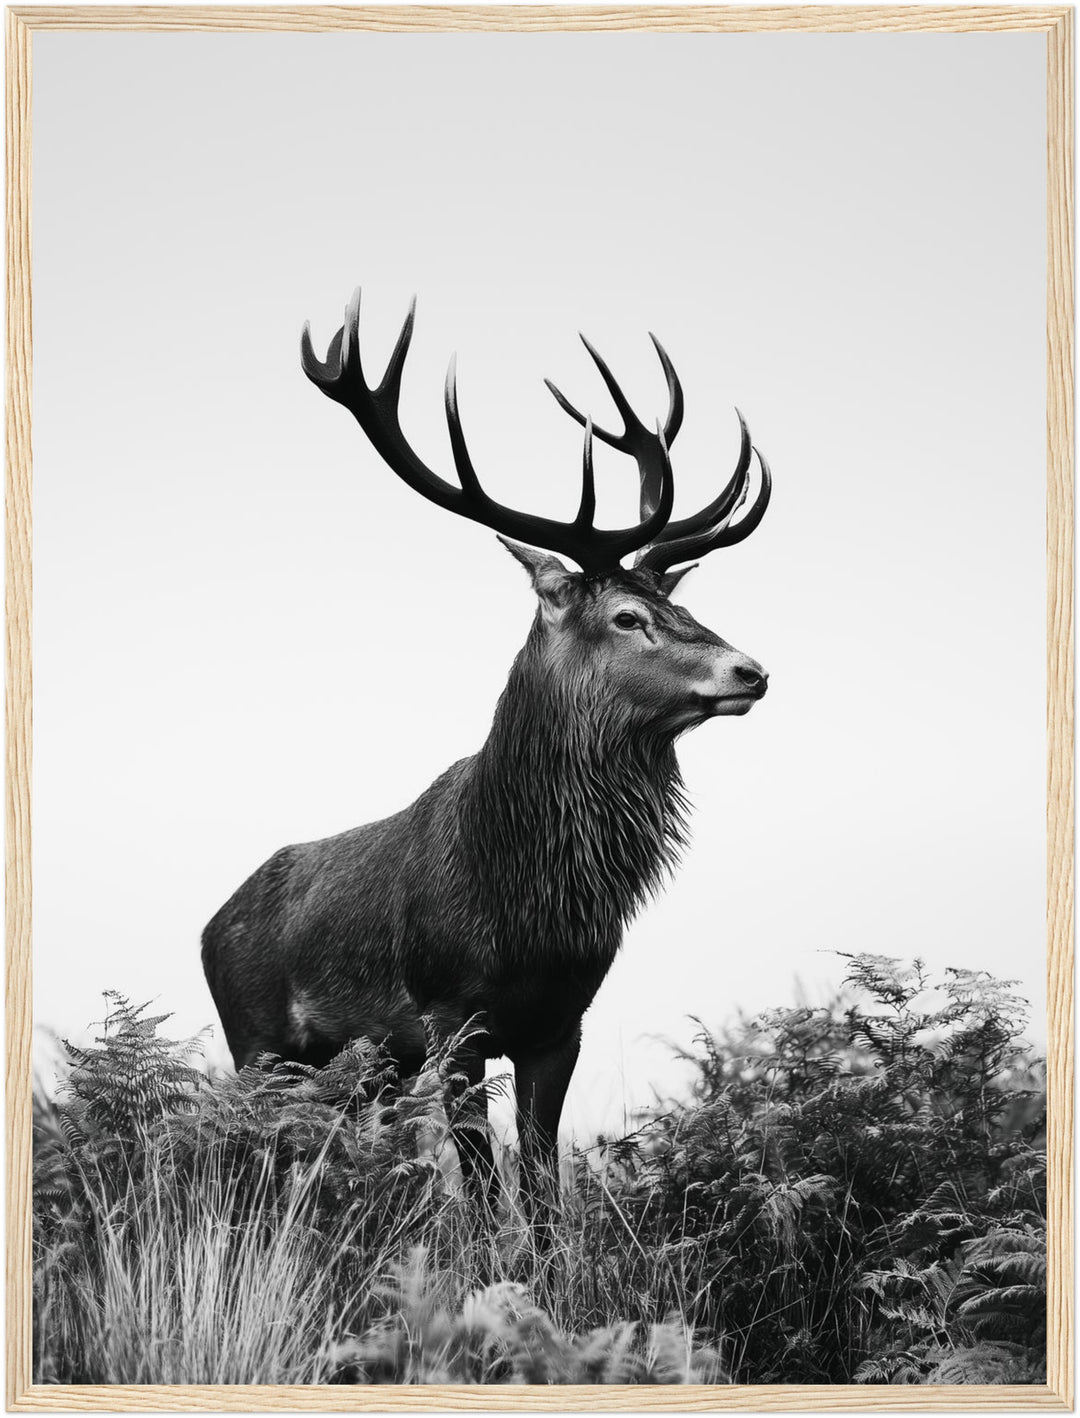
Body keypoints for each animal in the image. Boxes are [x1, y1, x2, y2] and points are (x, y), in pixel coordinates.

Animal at [201, 287, 771, 1228]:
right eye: (626, 617)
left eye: (679, 604)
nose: (752, 670)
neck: (525, 899)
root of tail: (211, 922)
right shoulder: (451, 1015)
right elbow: (477, 1182)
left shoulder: (560, 1023)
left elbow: (539, 1187)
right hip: (256, 1041)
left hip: (361, 1069)